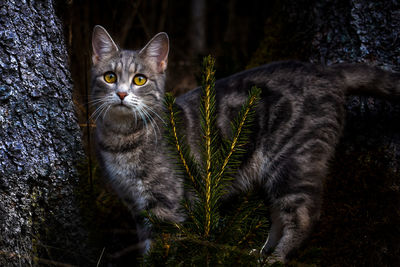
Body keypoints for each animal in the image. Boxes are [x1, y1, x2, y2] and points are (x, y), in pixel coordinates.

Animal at [90, 25, 400, 264]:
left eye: (140, 80)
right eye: (110, 77)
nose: (121, 93)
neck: (122, 141)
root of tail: (326, 72)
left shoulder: (165, 205)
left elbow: (164, 248)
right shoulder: (136, 206)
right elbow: (146, 247)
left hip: (294, 161)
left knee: (303, 215)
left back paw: (277, 258)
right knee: (277, 215)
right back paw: (260, 253)